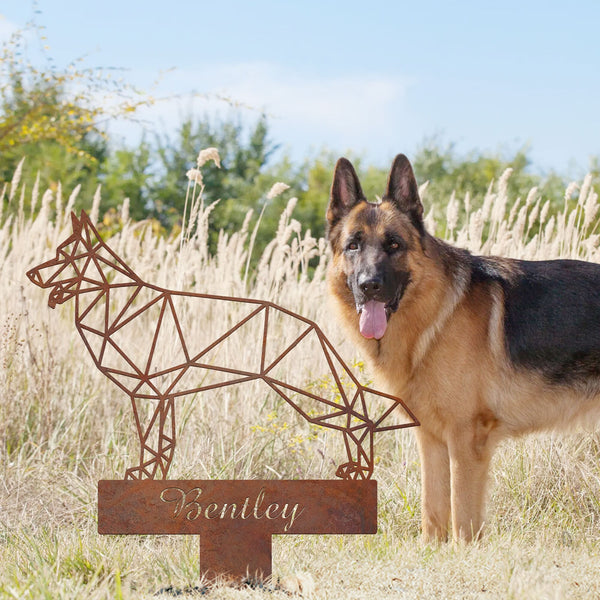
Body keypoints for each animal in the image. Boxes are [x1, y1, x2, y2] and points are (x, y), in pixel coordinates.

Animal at [326, 152, 600, 540]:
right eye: (353, 245)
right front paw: (431, 550)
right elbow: (433, 510)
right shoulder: (431, 440)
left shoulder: (466, 440)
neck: (435, 317)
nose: (369, 285)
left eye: (394, 245)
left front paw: (463, 551)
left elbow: (462, 519)